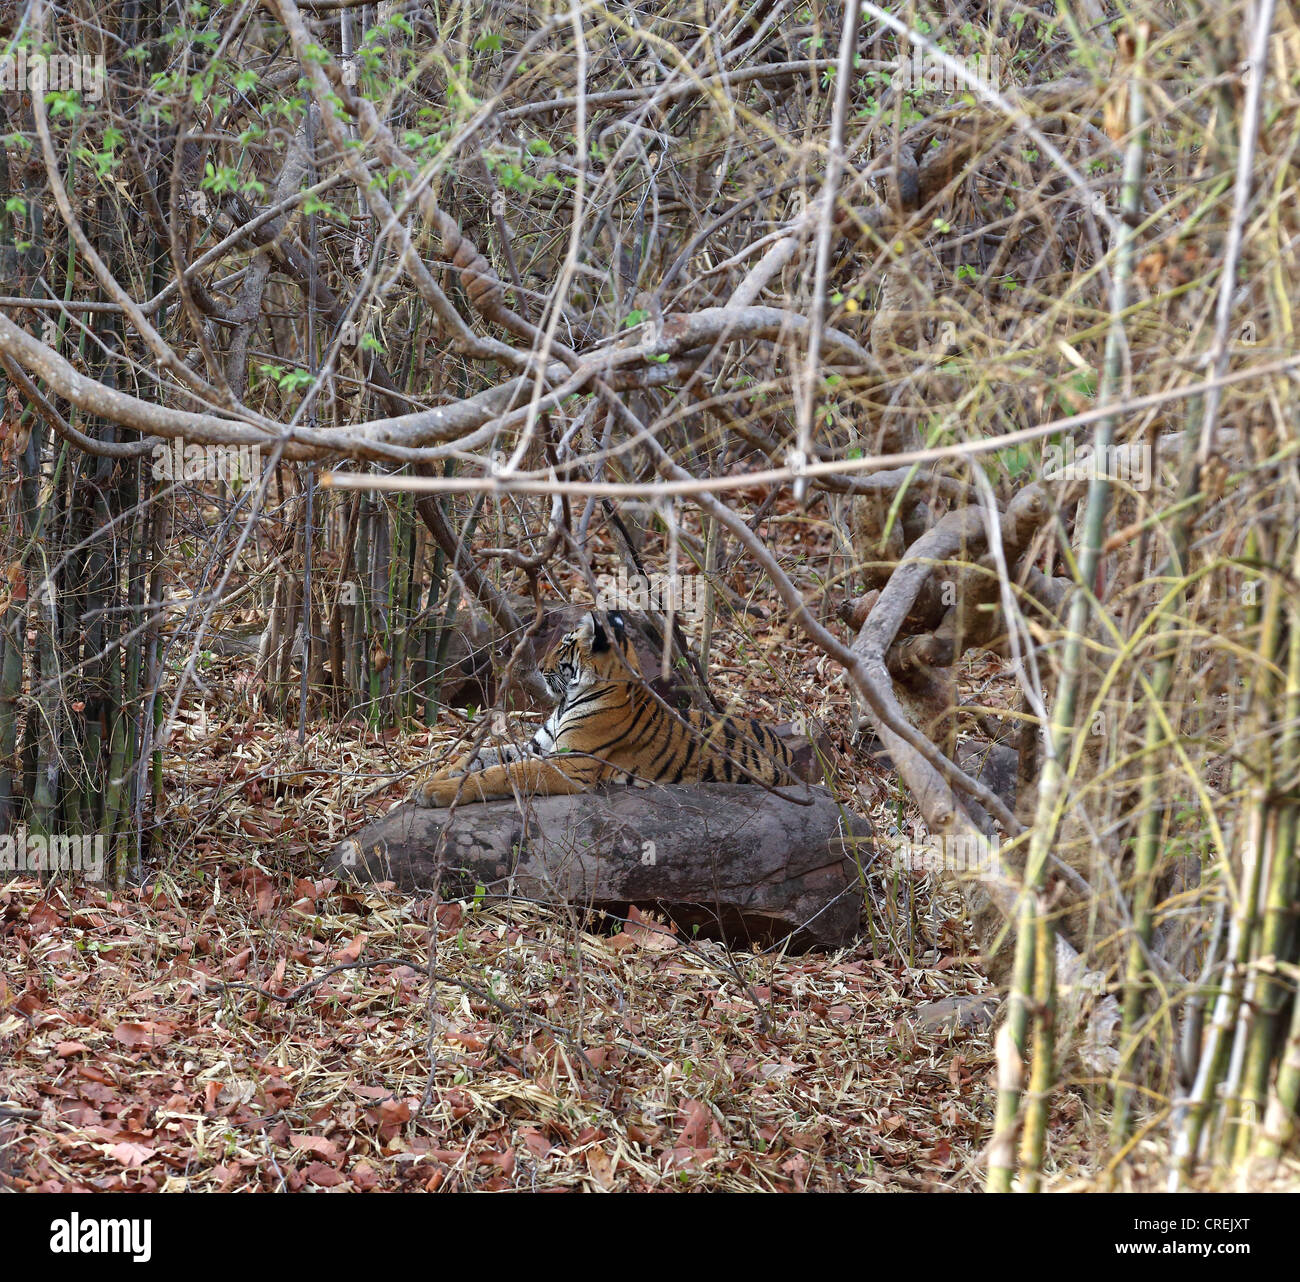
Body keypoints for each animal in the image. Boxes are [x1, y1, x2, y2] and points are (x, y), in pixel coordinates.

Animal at [413, 611, 800, 811]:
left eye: (562, 647)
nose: (538, 666)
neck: (570, 699)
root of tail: (786, 752)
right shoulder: (537, 746)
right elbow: (476, 757)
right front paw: (428, 780)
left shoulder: (572, 764)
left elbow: (500, 774)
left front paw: (437, 792)